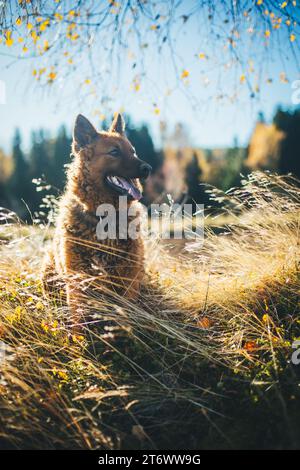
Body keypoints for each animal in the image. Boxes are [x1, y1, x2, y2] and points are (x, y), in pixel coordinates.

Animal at [41, 112, 152, 328]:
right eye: (114, 152)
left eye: (133, 151)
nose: (148, 168)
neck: (105, 213)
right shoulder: (77, 279)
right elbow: (79, 318)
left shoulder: (128, 276)